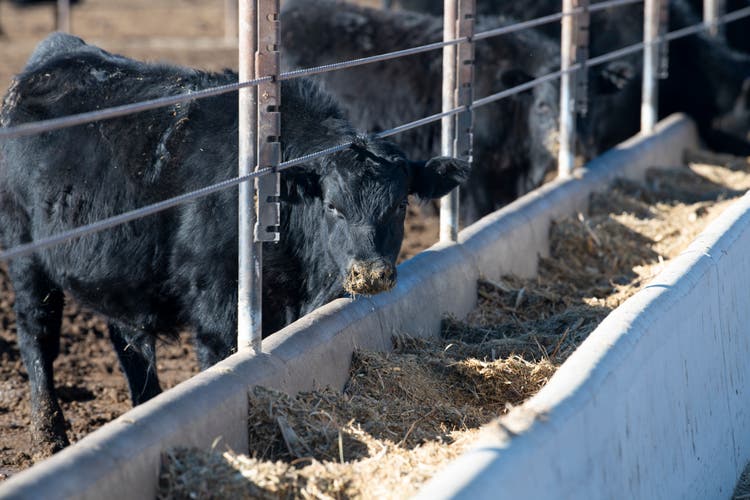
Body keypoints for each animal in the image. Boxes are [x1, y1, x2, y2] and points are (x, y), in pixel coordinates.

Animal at [0, 33, 469, 456]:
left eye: (399, 205)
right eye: (333, 205)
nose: (370, 273)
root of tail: (54, 55)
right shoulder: (217, 307)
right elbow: (220, 363)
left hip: (119, 273)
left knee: (129, 341)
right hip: (25, 257)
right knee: (37, 334)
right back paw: (50, 436)